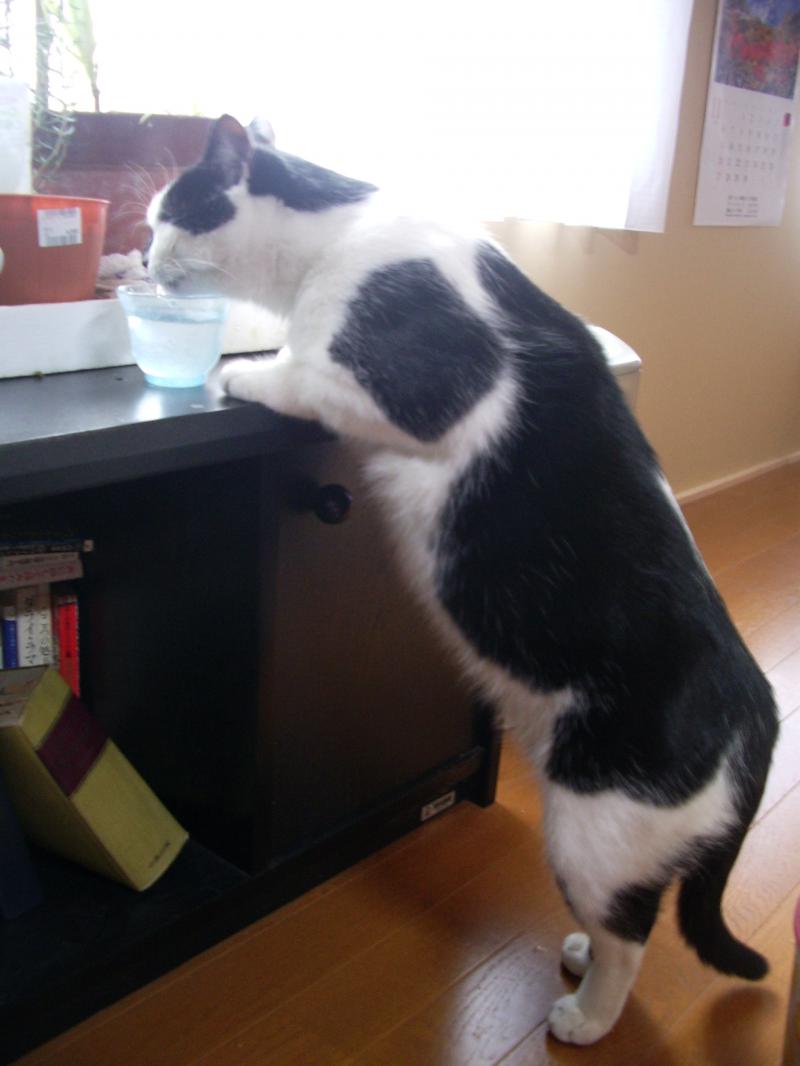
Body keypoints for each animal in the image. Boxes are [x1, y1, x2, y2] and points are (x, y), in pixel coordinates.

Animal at [145, 114, 779, 1046]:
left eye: (170, 214)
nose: (139, 256)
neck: (342, 232)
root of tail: (755, 702)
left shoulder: (409, 391)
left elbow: (295, 372)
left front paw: (239, 371)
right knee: (632, 917)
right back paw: (579, 957)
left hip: (594, 828)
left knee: (632, 935)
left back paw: (587, 1015)